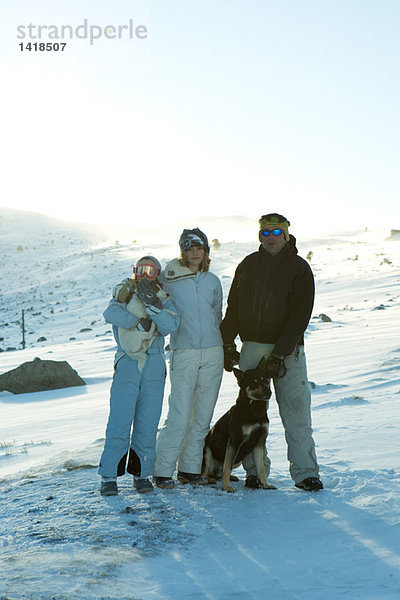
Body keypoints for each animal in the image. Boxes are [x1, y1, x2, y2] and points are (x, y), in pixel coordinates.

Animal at [202, 356, 276, 492]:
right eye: (254, 382)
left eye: (265, 380)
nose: (269, 393)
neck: (254, 409)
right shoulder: (235, 442)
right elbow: (227, 467)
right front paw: (226, 487)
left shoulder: (259, 442)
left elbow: (261, 469)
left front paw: (265, 485)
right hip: (207, 452)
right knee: (206, 472)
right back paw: (208, 480)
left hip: (238, 460)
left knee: (219, 472)